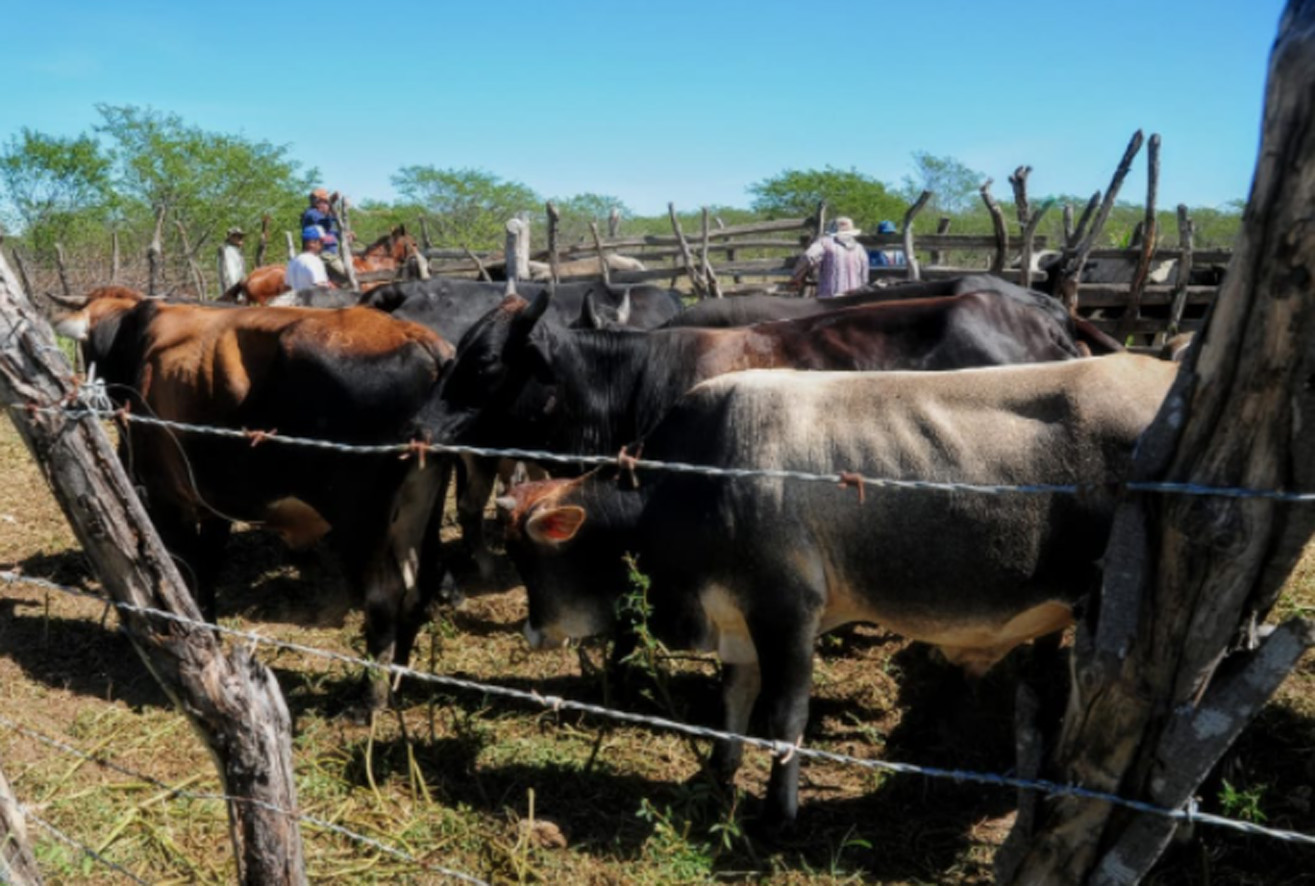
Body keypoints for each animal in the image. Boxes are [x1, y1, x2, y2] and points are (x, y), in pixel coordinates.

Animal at [502, 354, 1183, 825]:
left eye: (527, 558)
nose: (530, 630)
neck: (689, 480)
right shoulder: (738, 619)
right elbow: (734, 701)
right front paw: (719, 773)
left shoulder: (786, 611)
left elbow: (785, 717)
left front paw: (778, 813)